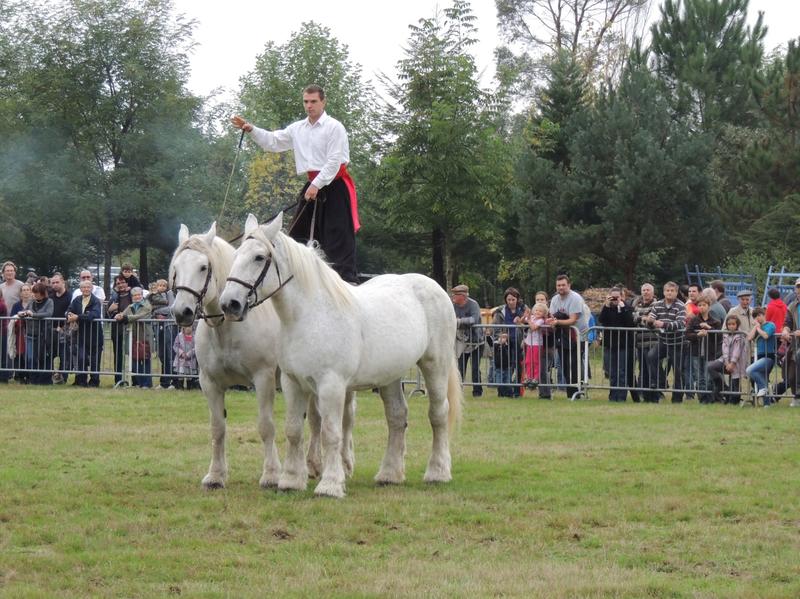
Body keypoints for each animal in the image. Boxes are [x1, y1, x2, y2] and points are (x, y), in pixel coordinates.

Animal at [169, 222, 356, 489]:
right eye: (176, 268)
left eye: (203, 267)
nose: (181, 312)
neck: (229, 329)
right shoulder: (210, 383)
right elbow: (217, 428)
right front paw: (215, 475)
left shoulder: (263, 378)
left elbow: (266, 426)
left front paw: (271, 474)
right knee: (316, 420)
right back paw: (313, 466)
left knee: (346, 419)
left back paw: (345, 465)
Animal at [219, 213, 463, 498]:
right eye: (236, 255)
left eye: (259, 257)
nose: (229, 304)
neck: (309, 316)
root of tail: (436, 288)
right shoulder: (292, 383)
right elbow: (293, 429)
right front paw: (291, 480)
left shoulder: (331, 385)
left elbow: (331, 432)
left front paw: (330, 484)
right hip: (390, 376)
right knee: (397, 417)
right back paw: (389, 475)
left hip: (435, 365)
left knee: (438, 414)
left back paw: (438, 472)